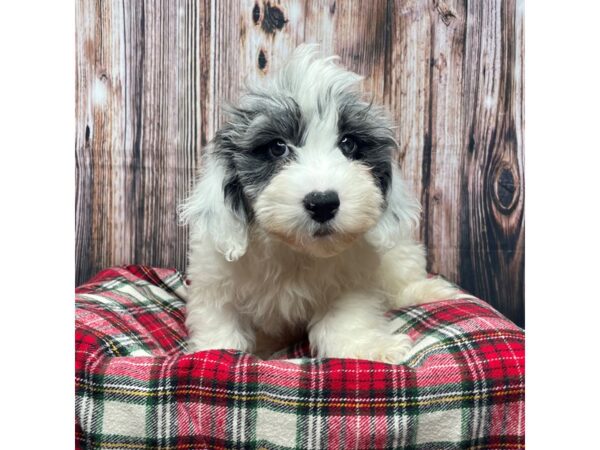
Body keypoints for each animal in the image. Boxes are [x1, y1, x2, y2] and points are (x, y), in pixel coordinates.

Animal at [178, 44, 460, 364]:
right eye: (277, 147)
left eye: (349, 144)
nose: (323, 203)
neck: (293, 250)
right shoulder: (215, 283)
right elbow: (221, 328)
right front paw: (216, 353)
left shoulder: (351, 283)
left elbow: (347, 320)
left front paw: (371, 348)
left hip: (400, 254)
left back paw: (430, 291)